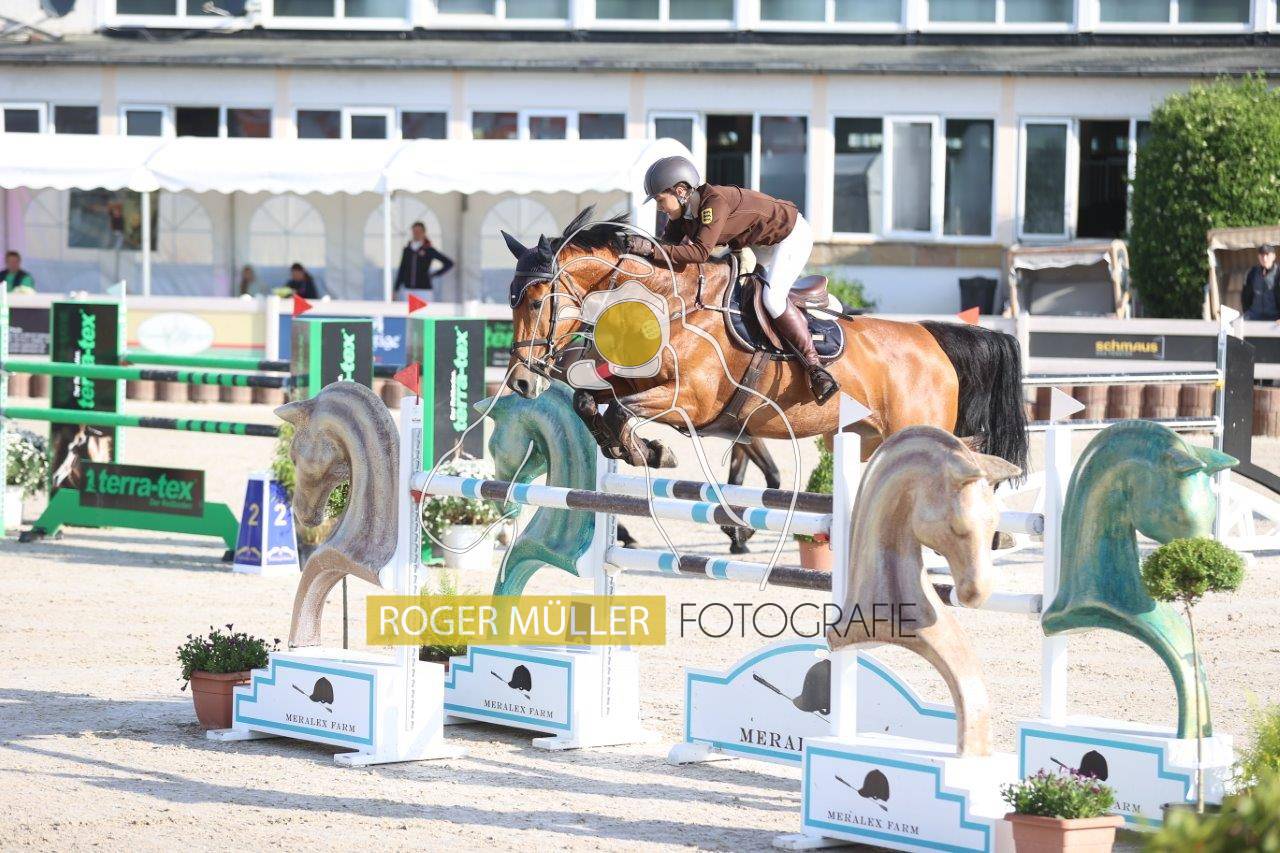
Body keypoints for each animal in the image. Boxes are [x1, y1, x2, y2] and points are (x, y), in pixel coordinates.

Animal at [500, 208, 1028, 475]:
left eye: (537, 301)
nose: (522, 383)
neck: (668, 303)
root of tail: (928, 336)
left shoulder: (690, 401)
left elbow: (619, 410)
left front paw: (647, 451)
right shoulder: (632, 382)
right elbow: (591, 402)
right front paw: (641, 451)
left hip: (916, 425)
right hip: (867, 437)